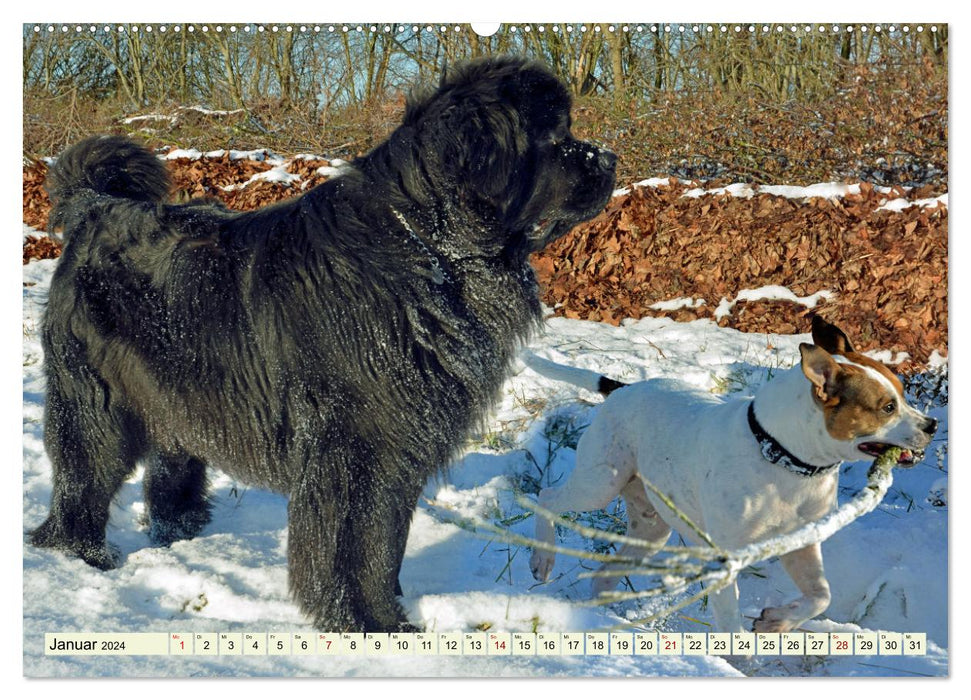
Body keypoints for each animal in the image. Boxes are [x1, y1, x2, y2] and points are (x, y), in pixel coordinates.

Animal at [34, 57, 620, 632]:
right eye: (555, 135)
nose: (610, 158)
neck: (430, 255)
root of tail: (97, 207)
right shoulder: (354, 449)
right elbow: (351, 546)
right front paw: (362, 621)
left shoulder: (399, 449)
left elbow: (385, 542)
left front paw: (390, 614)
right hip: (96, 404)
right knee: (81, 479)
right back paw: (82, 555)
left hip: (179, 392)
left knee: (170, 466)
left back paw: (180, 532)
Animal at [528, 318, 936, 636]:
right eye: (887, 407)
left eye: (903, 393)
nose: (931, 425)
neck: (781, 458)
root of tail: (622, 388)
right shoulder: (726, 558)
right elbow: (728, 619)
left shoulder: (802, 544)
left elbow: (821, 595)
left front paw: (776, 622)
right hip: (601, 483)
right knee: (547, 497)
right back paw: (543, 559)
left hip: (651, 527)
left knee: (605, 574)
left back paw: (603, 618)